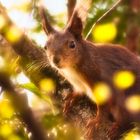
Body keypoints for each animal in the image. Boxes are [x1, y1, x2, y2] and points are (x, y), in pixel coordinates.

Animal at [39, 6, 140, 139]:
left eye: (72, 44)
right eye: (45, 47)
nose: (55, 60)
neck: (72, 70)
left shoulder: (100, 79)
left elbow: (104, 106)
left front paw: (96, 121)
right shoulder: (77, 83)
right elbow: (79, 91)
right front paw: (72, 97)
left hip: (130, 97)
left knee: (128, 119)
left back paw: (118, 128)